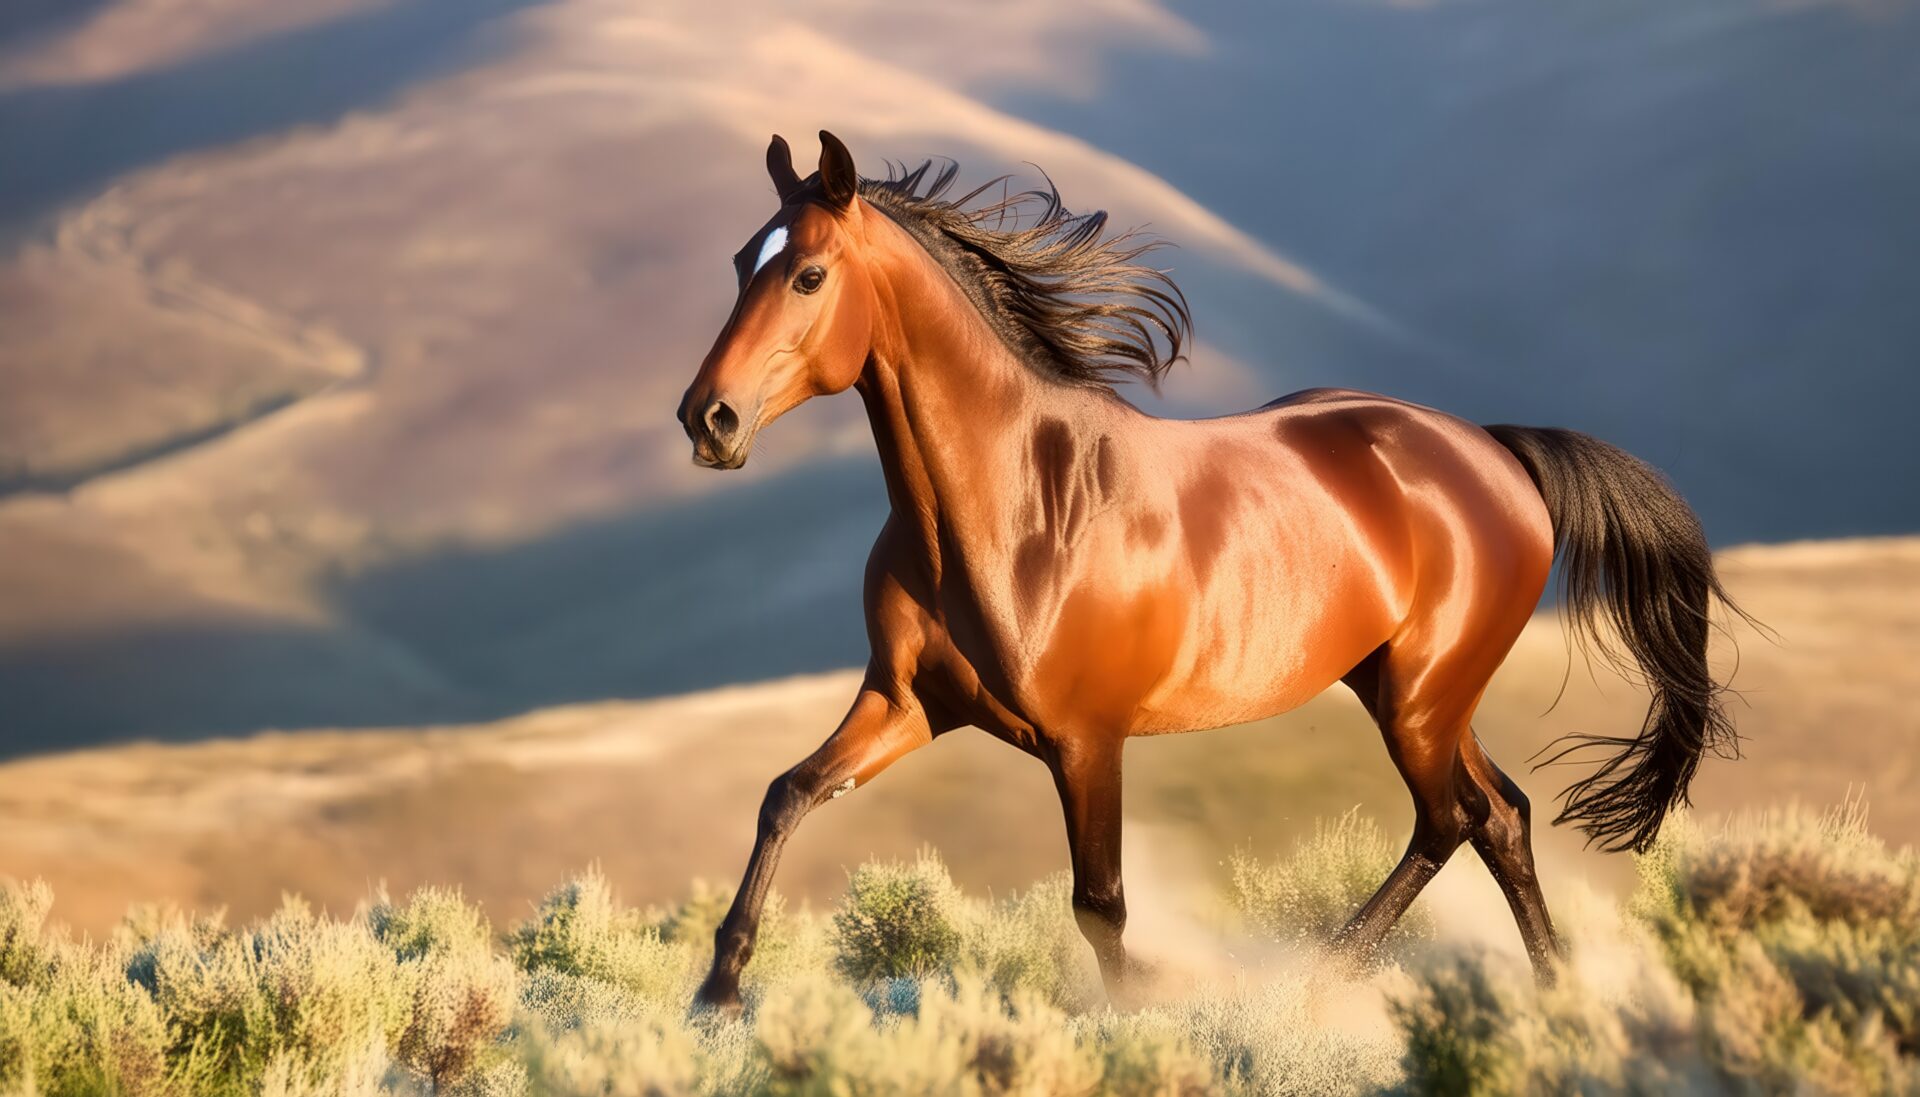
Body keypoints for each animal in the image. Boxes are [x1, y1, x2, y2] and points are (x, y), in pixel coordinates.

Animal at [674, 130, 1744, 1013]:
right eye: (737, 263)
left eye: (810, 274)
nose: (707, 419)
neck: (1008, 510)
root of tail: (1495, 449)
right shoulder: (907, 702)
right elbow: (786, 795)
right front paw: (717, 993)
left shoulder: (1086, 741)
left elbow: (1099, 901)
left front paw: (1136, 1013)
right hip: (1411, 689)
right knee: (1502, 818)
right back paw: (1551, 992)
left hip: (1421, 698)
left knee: (1453, 817)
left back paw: (1319, 978)